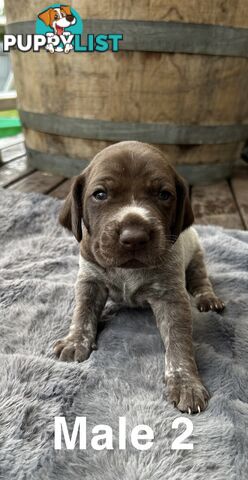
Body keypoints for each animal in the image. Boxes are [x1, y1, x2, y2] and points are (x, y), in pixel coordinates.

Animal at [54, 141, 225, 414]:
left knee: (200, 280)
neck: (128, 269)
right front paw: (75, 341)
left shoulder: (171, 297)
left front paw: (185, 382)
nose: (134, 237)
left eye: (163, 195)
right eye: (100, 194)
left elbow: (178, 341)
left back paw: (208, 299)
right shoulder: (90, 281)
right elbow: (82, 314)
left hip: (196, 255)